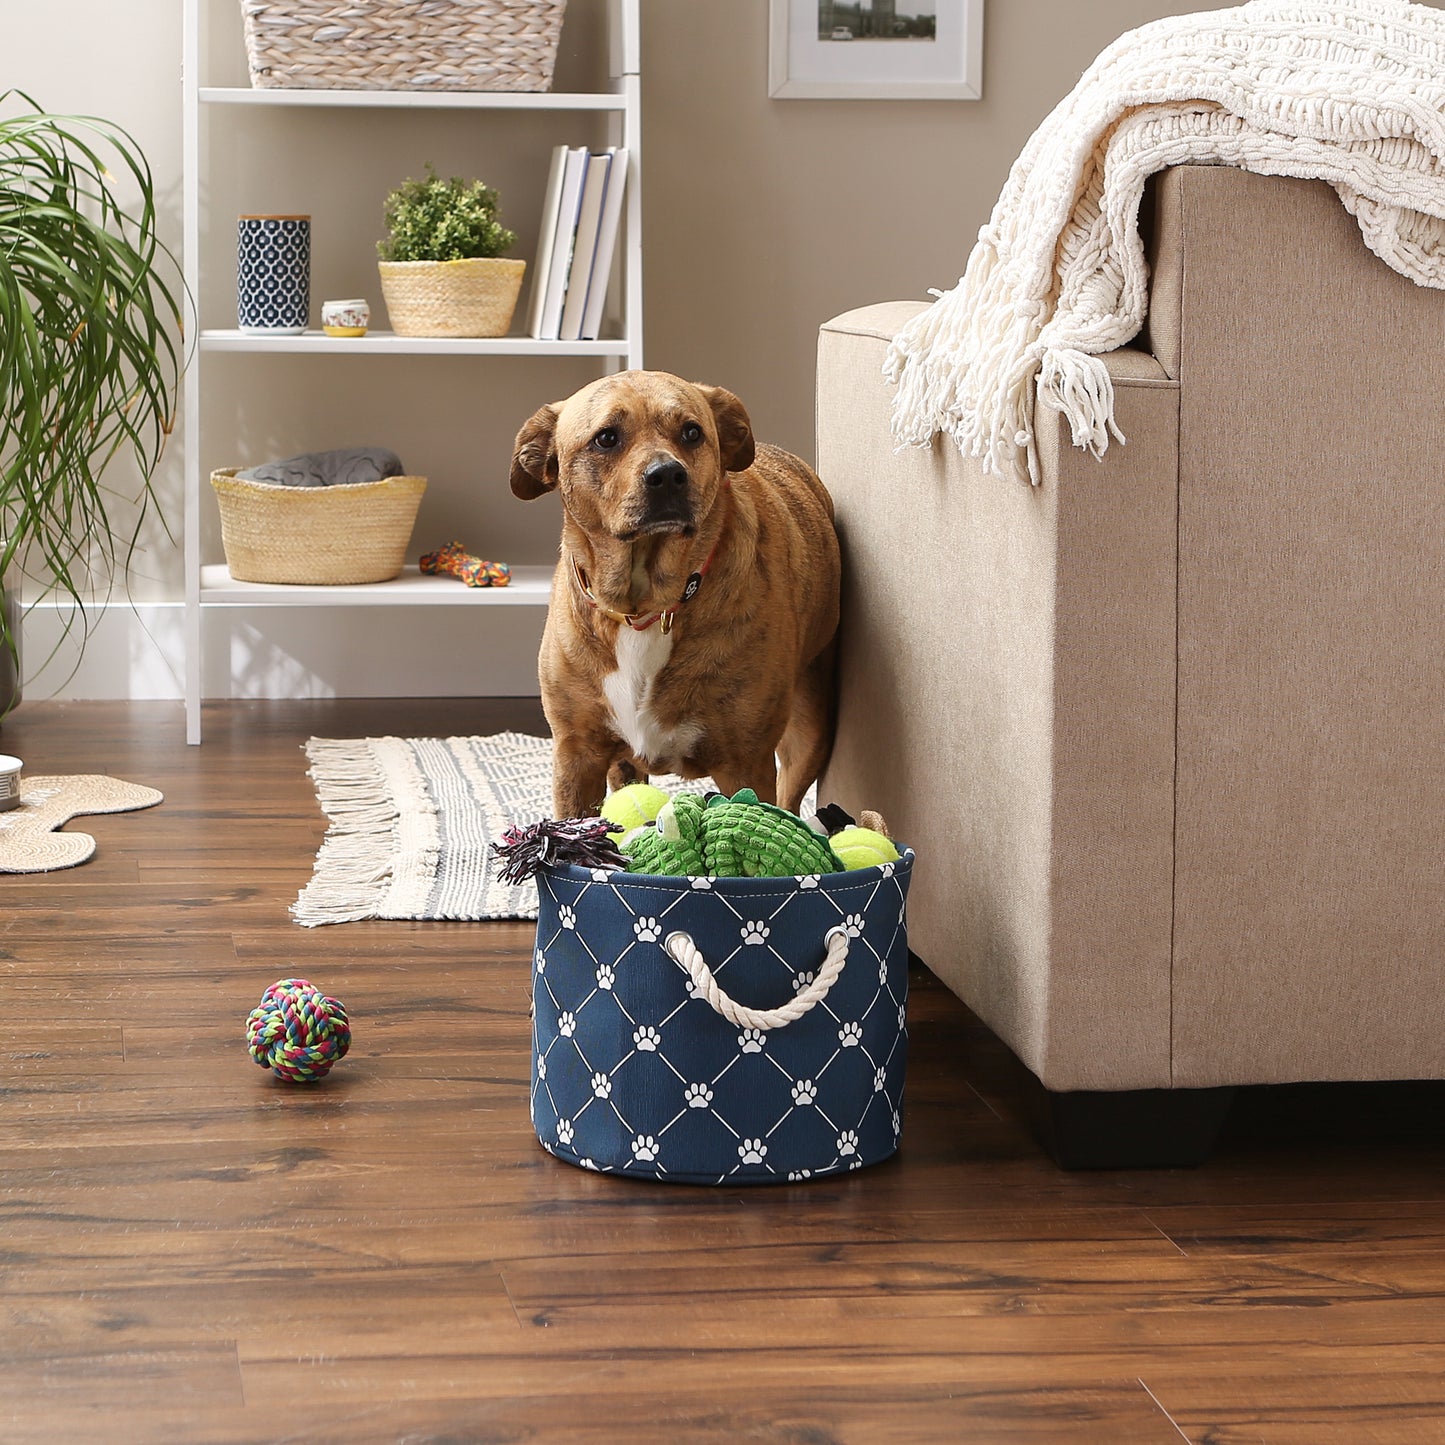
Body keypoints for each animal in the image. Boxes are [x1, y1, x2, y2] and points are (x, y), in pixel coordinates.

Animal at [511, 369, 843, 826]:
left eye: (692, 432)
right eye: (606, 438)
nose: (667, 474)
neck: (646, 605)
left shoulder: (747, 763)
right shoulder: (577, 756)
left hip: (808, 728)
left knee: (791, 797)